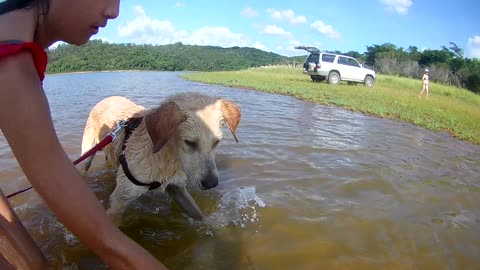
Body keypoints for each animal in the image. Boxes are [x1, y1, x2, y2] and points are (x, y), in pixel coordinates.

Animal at [78, 92, 240, 223]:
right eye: (190, 142)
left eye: (216, 142)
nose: (211, 183)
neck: (167, 156)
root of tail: (107, 99)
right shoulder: (119, 199)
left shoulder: (177, 188)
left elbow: (198, 214)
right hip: (87, 156)